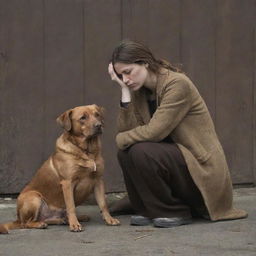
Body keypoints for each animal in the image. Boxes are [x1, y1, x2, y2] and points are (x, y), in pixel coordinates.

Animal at [0, 104, 120, 234]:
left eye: (97, 114)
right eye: (83, 118)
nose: (99, 125)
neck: (87, 151)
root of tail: (17, 219)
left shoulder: (98, 180)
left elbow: (103, 204)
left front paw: (109, 219)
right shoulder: (68, 183)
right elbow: (71, 206)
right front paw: (74, 225)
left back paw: (67, 219)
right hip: (33, 197)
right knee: (26, 223)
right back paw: (41, 224)